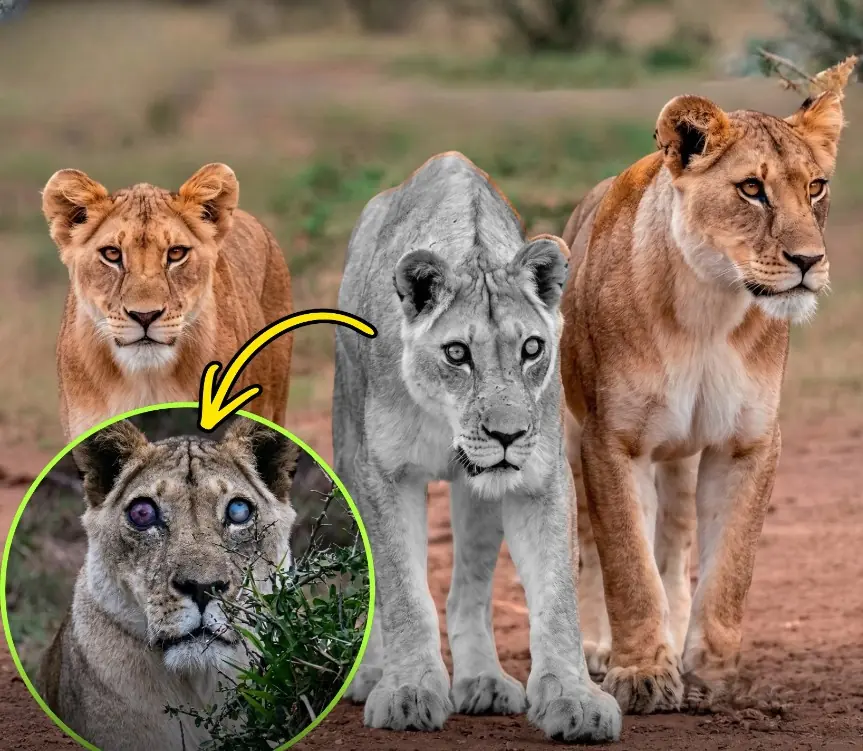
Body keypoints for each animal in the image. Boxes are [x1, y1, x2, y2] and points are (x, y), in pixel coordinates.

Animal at [332, 152, 621, 742]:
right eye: (457, 353)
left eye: (531, 348)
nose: (507, 435)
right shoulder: (383, 471)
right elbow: (401, 588)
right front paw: (407, 690)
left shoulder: (541, 477)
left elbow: (557, 596)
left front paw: (575, 699)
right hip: (345, 439)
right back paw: (370, 674)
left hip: (479, 494)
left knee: (468, 589)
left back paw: (483, 683)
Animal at [559, 71, 851, 714]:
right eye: (751, 189)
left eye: (816, 186)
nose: (809, 261)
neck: (709, 308)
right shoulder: (613, 441)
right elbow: (627, 565)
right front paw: (641, 674)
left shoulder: (747, 442)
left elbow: (729, 570)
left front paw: (709, 677)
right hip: (569, 437)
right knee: (589, 542)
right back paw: (593, 647)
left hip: (680, 457)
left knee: (674, 542)